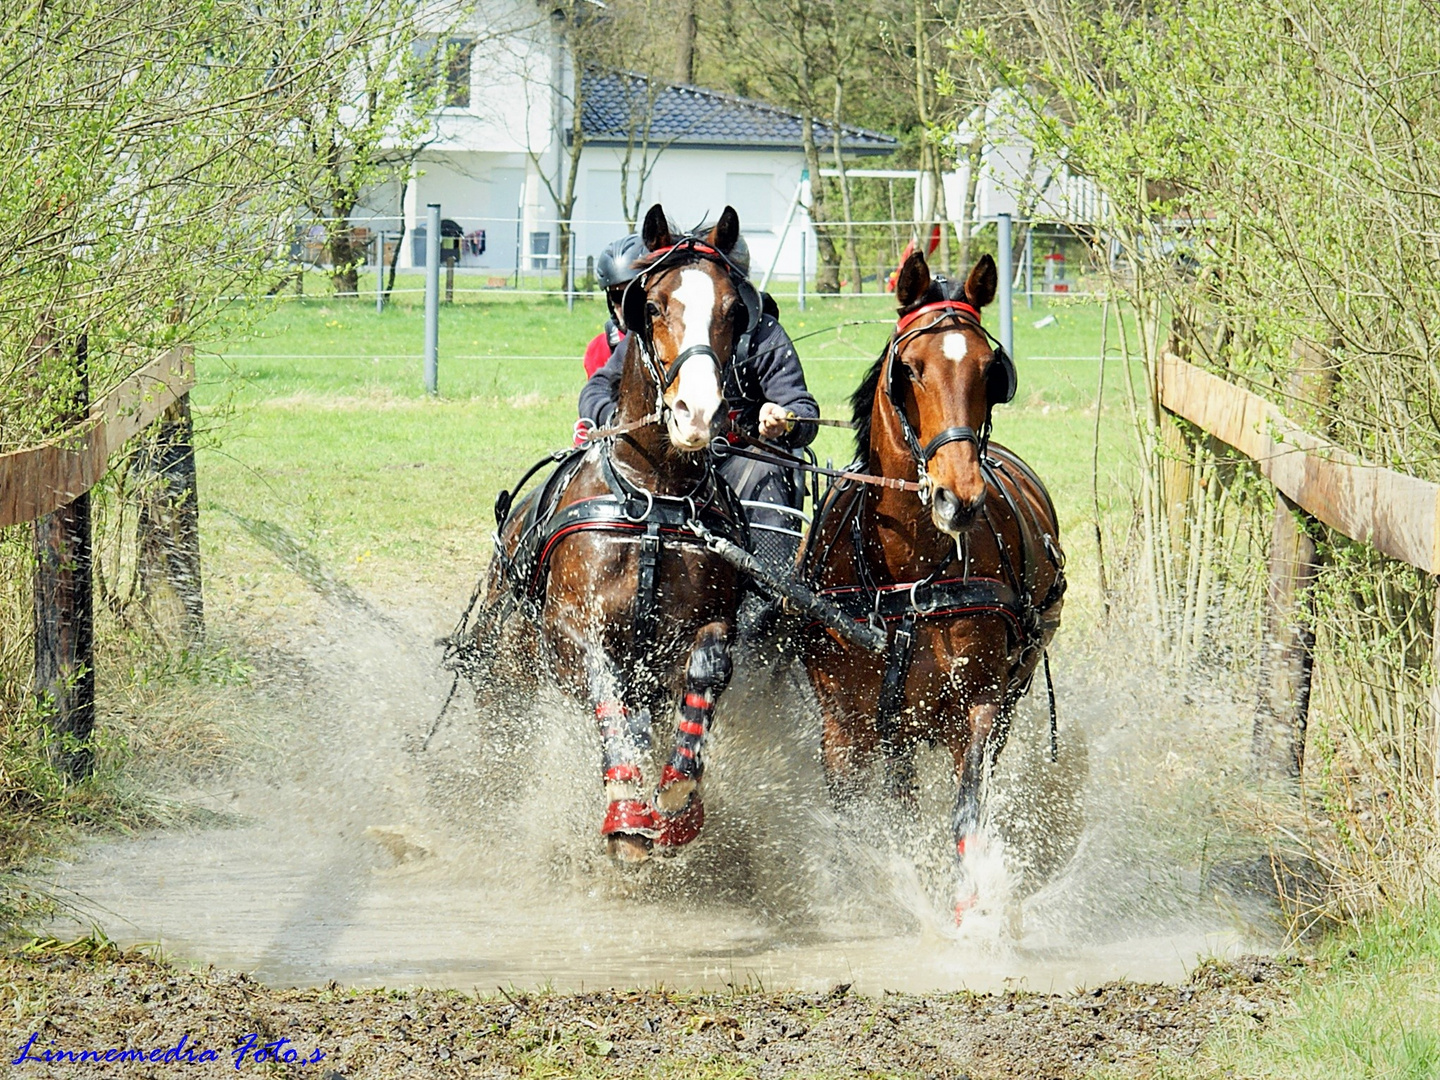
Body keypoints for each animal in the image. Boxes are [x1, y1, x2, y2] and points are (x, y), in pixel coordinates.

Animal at [800, 252, 1071, 921]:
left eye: (989, 371)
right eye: (911, 370)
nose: (960, 497)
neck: (906, 577)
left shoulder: (978, 705)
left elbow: (966, 813)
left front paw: (967, 913)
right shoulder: (843, 723)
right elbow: (863, 818)